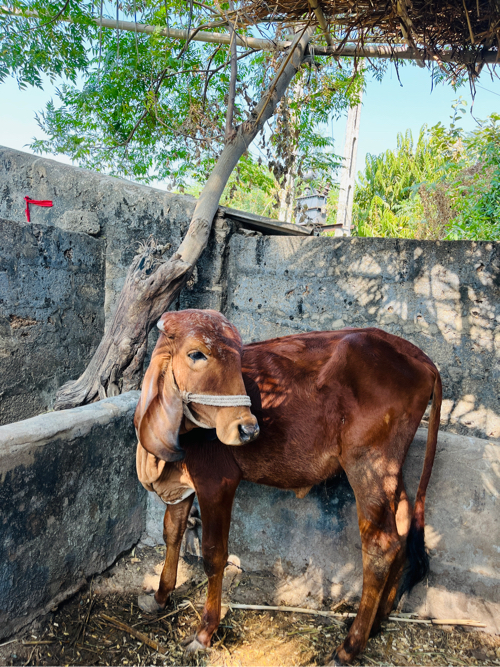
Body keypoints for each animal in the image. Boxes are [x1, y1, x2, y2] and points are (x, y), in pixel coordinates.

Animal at [134, 310, 442, 664]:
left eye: (238, 356)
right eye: (196, 354)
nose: (247, 428)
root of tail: (421, 359)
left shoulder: (216, 481)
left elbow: (213, 555)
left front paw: (204, 632)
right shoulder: (182, 485)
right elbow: (171, 534)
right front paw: (159, 597)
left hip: (368, 465)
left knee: (382, 546)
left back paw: (349, 647)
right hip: (391, 471)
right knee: (403, 532)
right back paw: (375, 624)